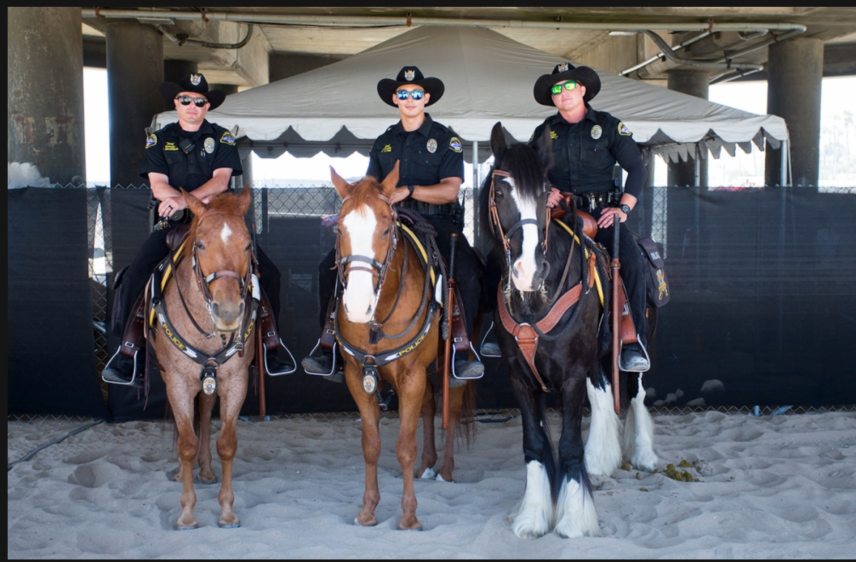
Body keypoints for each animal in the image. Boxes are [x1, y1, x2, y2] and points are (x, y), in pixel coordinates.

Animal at [154, 186, 256, 528]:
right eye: (200, 244)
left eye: (247, 243)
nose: (228, 312)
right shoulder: (176, 381)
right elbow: (186, 443)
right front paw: (187, 513)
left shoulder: (236, 380)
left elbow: (227, 442)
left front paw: (226, 510)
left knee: (205, 410)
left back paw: (207, 470)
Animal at [330, 160, 474, 528]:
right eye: (340, 229)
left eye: (385, 230)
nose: (357, 306)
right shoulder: (358, 377)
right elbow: (371, 445)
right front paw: (368, 510)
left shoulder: (411, 375)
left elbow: (404, 446)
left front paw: (409, 516)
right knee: (429, 406)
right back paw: (428, 464)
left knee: (452, 404)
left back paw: (445, 470)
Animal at [484, 123, 660, 540]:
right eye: (500, 193)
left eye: (545, 194)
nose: (529, 272)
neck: (535, 301)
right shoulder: (521, 378)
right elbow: (535, 444)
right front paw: (533, 517)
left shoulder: (571, 376)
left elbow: (567, 445)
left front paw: (574, 520)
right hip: (594, 357)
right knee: (603, 394)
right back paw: (601, 460)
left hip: (633, 345)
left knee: (636, 392)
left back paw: (643, 455)